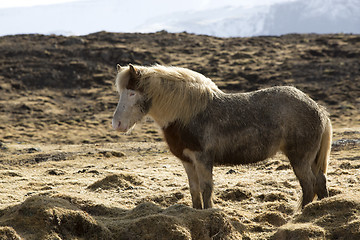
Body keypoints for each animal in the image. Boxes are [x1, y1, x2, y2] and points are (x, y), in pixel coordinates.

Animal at [112, 64, 332, 209]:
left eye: (132, 93)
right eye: (121, 92)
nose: (117, 124)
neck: (186, 113)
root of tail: (318, 109)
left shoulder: (202, 159)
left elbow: (206, 189)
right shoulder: (187, 161)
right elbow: (194, 190)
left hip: (299, 159)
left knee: (308, 186)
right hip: (311, 160)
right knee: (320, 182)